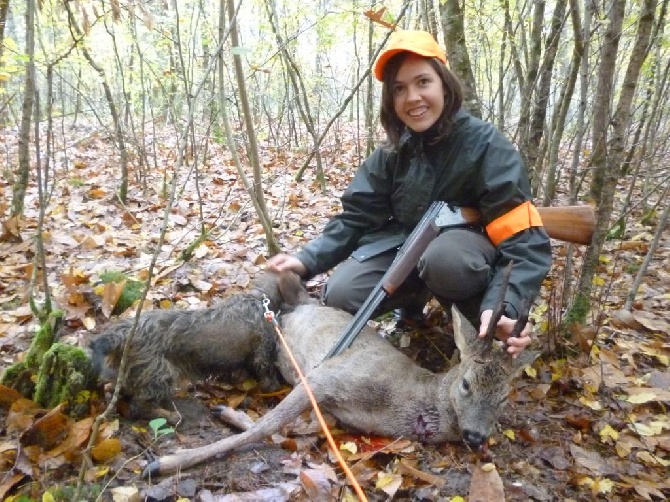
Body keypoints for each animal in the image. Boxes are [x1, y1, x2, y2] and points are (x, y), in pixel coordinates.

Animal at [144, 296, 540, 476]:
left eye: (503, 397)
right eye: (466, 384)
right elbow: (266, 425)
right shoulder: (327, 375)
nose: (475, 436)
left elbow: (292, 431)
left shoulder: (332, 412)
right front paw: (165, 461)